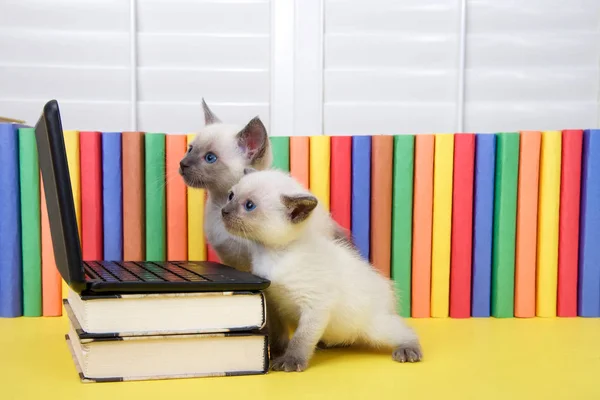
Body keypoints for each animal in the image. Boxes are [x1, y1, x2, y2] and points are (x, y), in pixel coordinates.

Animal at [220, 168, 422, 372]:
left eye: (249, 205)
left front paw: (290, 361)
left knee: (406, 331)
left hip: (377, 328)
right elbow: (279, 335)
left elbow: (301, 339)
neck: (272, 255)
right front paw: (276, 352)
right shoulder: (274, 304)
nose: (224, 211)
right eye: (231, 196)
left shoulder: (315, 306)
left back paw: (408, 350)